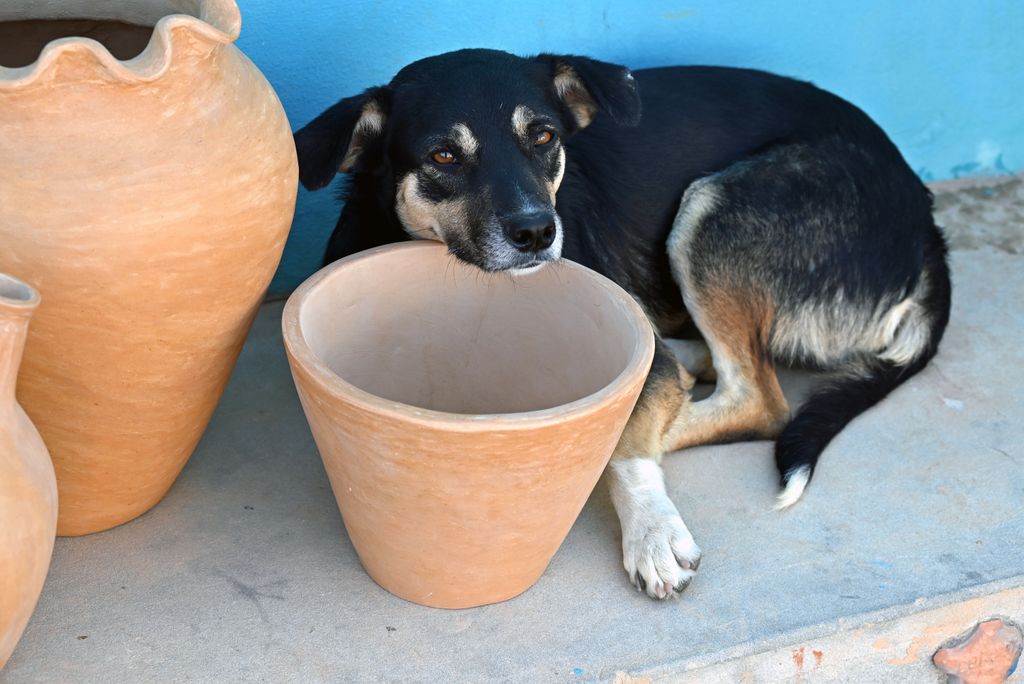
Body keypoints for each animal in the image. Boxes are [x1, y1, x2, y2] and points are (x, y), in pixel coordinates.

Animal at [290, 49, 950, 597]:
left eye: (543, 136)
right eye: (443, 156)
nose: (537, 231)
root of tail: (926, 225)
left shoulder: (642, 358)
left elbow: (624, 434)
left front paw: (653, 534)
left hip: (715, 209)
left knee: (758, 401)